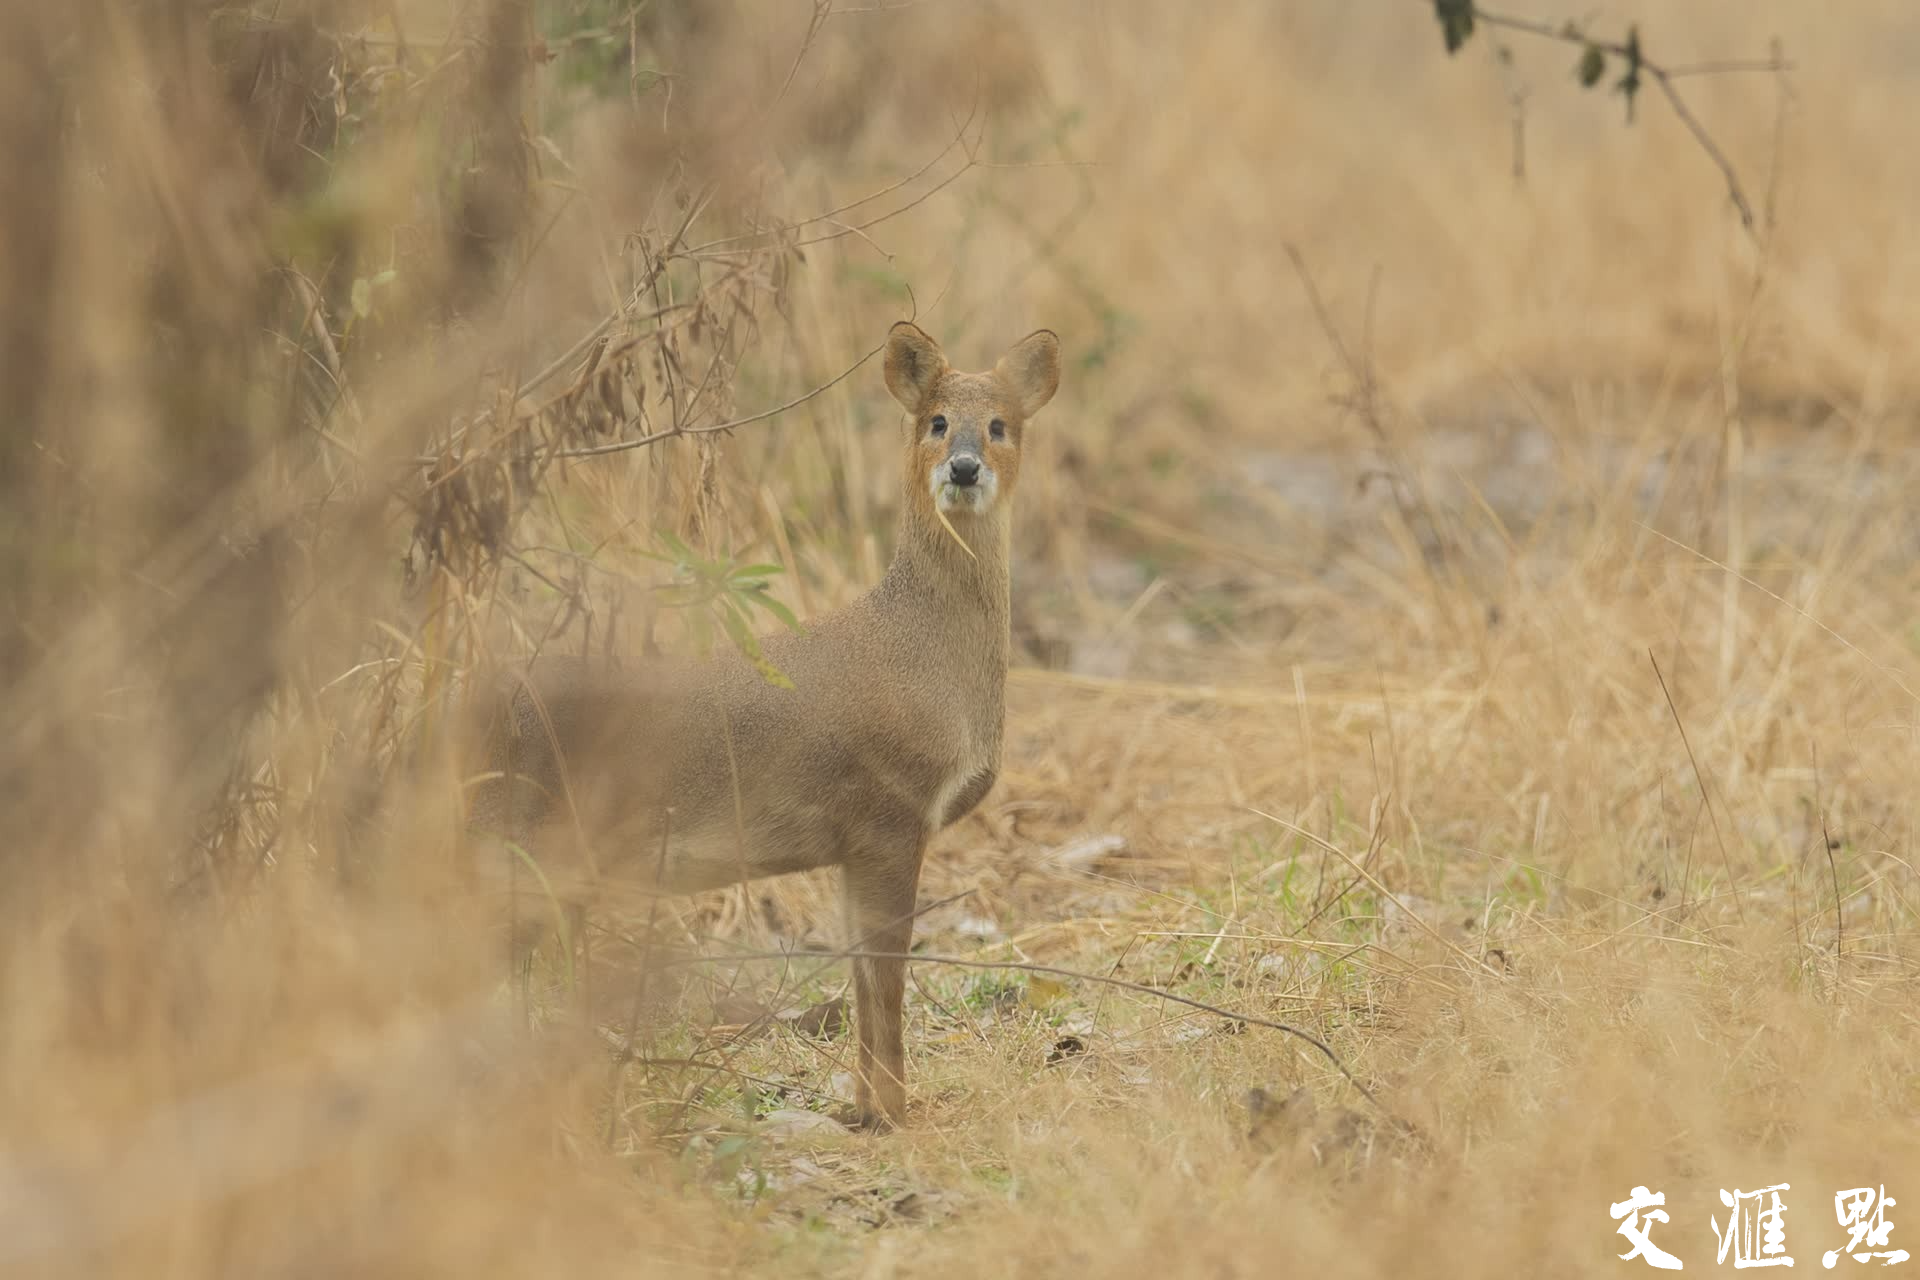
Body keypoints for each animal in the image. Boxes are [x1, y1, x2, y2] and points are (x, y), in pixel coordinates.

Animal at [472, 322, 1059, 1128]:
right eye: (936, 422)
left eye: (1000, 424)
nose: (964, 467)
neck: (923, 657)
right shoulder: (891, 813)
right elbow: (886, 978)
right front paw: (896, 1111)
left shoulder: (855, 844)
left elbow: (861, 978)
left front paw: (866, 1109)